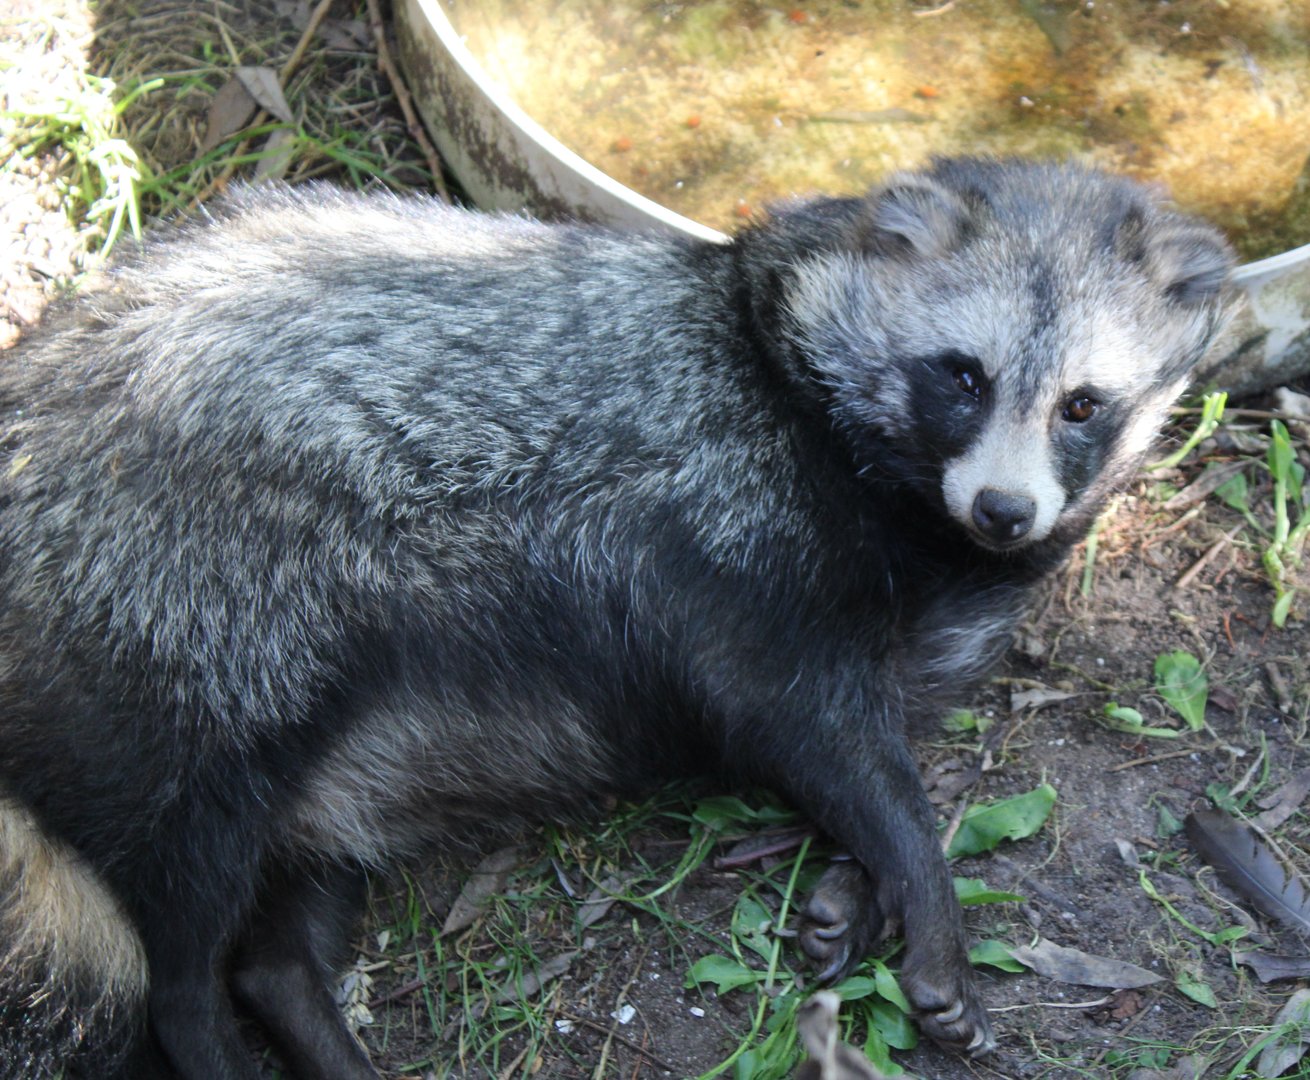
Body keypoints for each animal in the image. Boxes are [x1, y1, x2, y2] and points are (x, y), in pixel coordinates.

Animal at [0, 158, 1234, 1078]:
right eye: (962, 374)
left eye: (1083, 403)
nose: (1004, 510)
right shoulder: (731, 536)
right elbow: (814, 733)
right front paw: (921, 893)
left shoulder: (919, 626)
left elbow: (871, 755)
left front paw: (860, 885)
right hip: (195, 633)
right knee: (184, 920)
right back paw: (202, 1027)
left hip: (340, 748)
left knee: (280, 930)